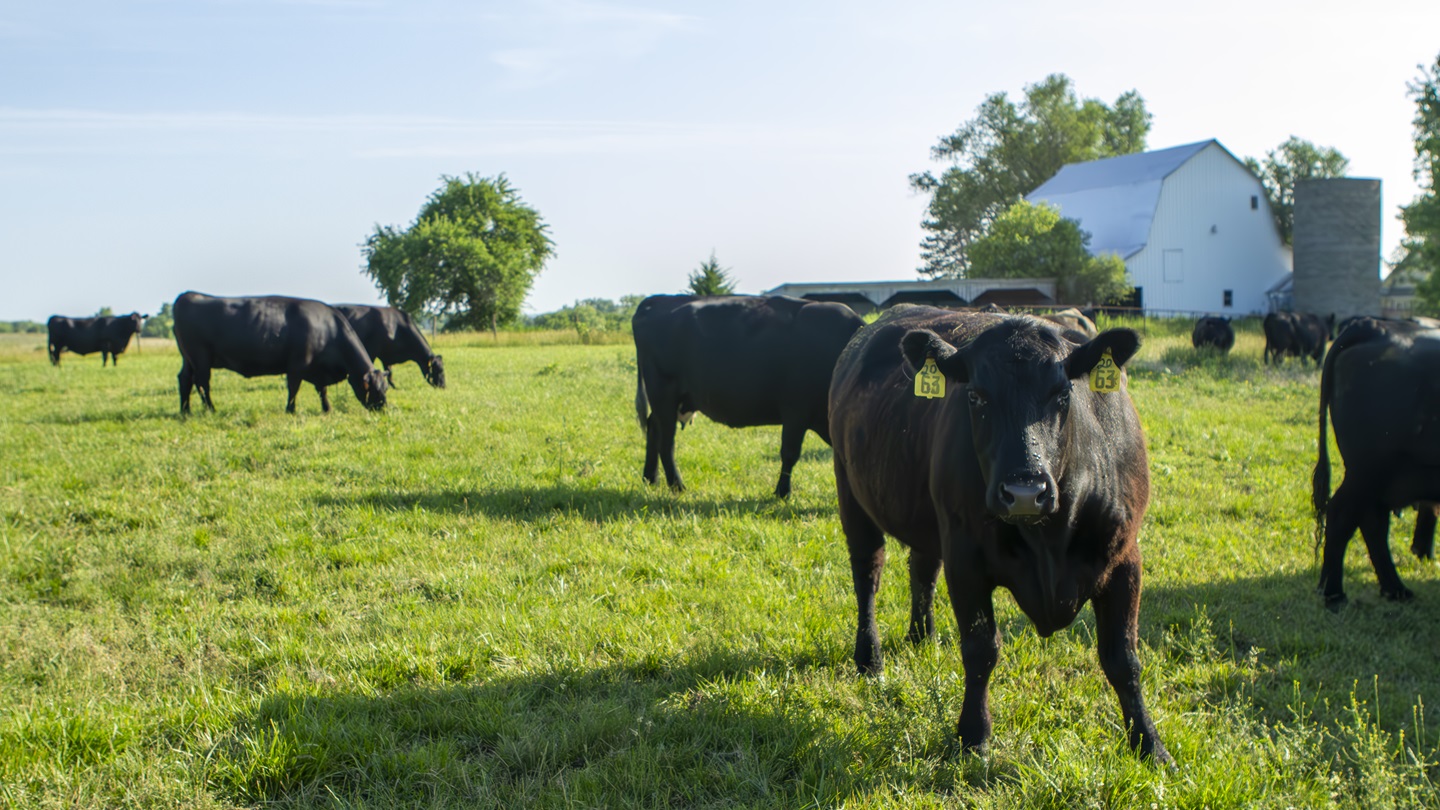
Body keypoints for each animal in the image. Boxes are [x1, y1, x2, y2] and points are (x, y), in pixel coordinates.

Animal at [172, 291, 388, 415]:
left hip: (188, 358)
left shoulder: (317, 369)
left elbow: (322, 390)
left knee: (185, 379)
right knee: (202, 383)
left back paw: (185, 410)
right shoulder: (298, 364)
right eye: (375, 389)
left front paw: (327, 409)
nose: (384, 409)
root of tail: (190, 295)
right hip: (201, 357)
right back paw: (210, 409)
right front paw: (290, 410)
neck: (328, 328)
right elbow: (294, 388)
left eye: (385, 388)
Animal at [633, 292, 858, 495]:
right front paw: (782, 492)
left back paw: (650, 478)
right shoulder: (796, 411)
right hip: (663, 394)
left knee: (653, 428)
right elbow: (790, 453)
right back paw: (677, 486)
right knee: (666, 442)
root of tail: (656, 300)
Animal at [835, 305, 1169, 760]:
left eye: (1063, 394)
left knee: (922, 567)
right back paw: (870, 657)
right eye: (976, 396)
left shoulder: (1124, 560)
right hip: (851, 493)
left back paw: (923, 636)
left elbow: (1123, 657)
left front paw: (1149, 743)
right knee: (868, 574)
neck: (1050, 539)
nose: (1025, 491)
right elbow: (981, 650)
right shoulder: (966, 560)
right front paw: (974, 734)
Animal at [1319, 312, 1440, 602]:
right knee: (1344, 515)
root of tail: (1375, 327)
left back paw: (1395, 588)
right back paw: (1335, 594)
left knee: (1371, 521)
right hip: (1371, 469)